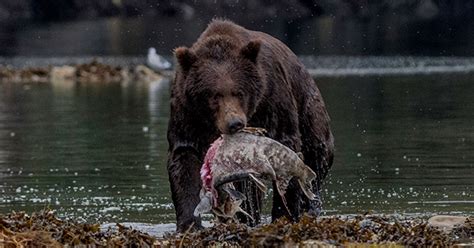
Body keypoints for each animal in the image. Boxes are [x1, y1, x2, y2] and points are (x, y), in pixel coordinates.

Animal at [168, 19, 336, 232]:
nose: (235, 123)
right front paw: (190, 224)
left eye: (239, 92)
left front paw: (284, 215)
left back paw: (308, 206)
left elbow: (286, 143)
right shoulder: (186, 112)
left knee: (318, 152)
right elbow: (184, 159)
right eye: (213, 95)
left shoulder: (272, 99)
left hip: (308, 107)